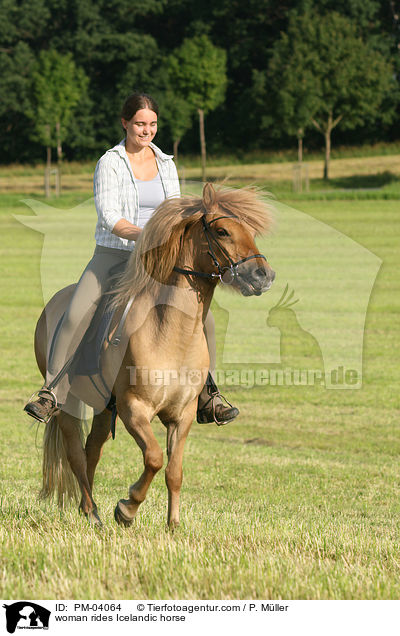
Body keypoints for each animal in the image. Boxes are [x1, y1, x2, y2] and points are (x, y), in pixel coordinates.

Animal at [36, 183, 276, 528]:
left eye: (251, 231)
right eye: (222, 231)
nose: (263, 275)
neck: (171, 334)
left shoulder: (182, 415)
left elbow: (174, 470)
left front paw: (173, 524)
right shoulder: (133, 409)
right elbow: (153, 458)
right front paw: (127, 508)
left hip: (104, 407)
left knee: (92, 449)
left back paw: (89, 509)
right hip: (68, 404)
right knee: (75, 454)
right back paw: (93, 512)